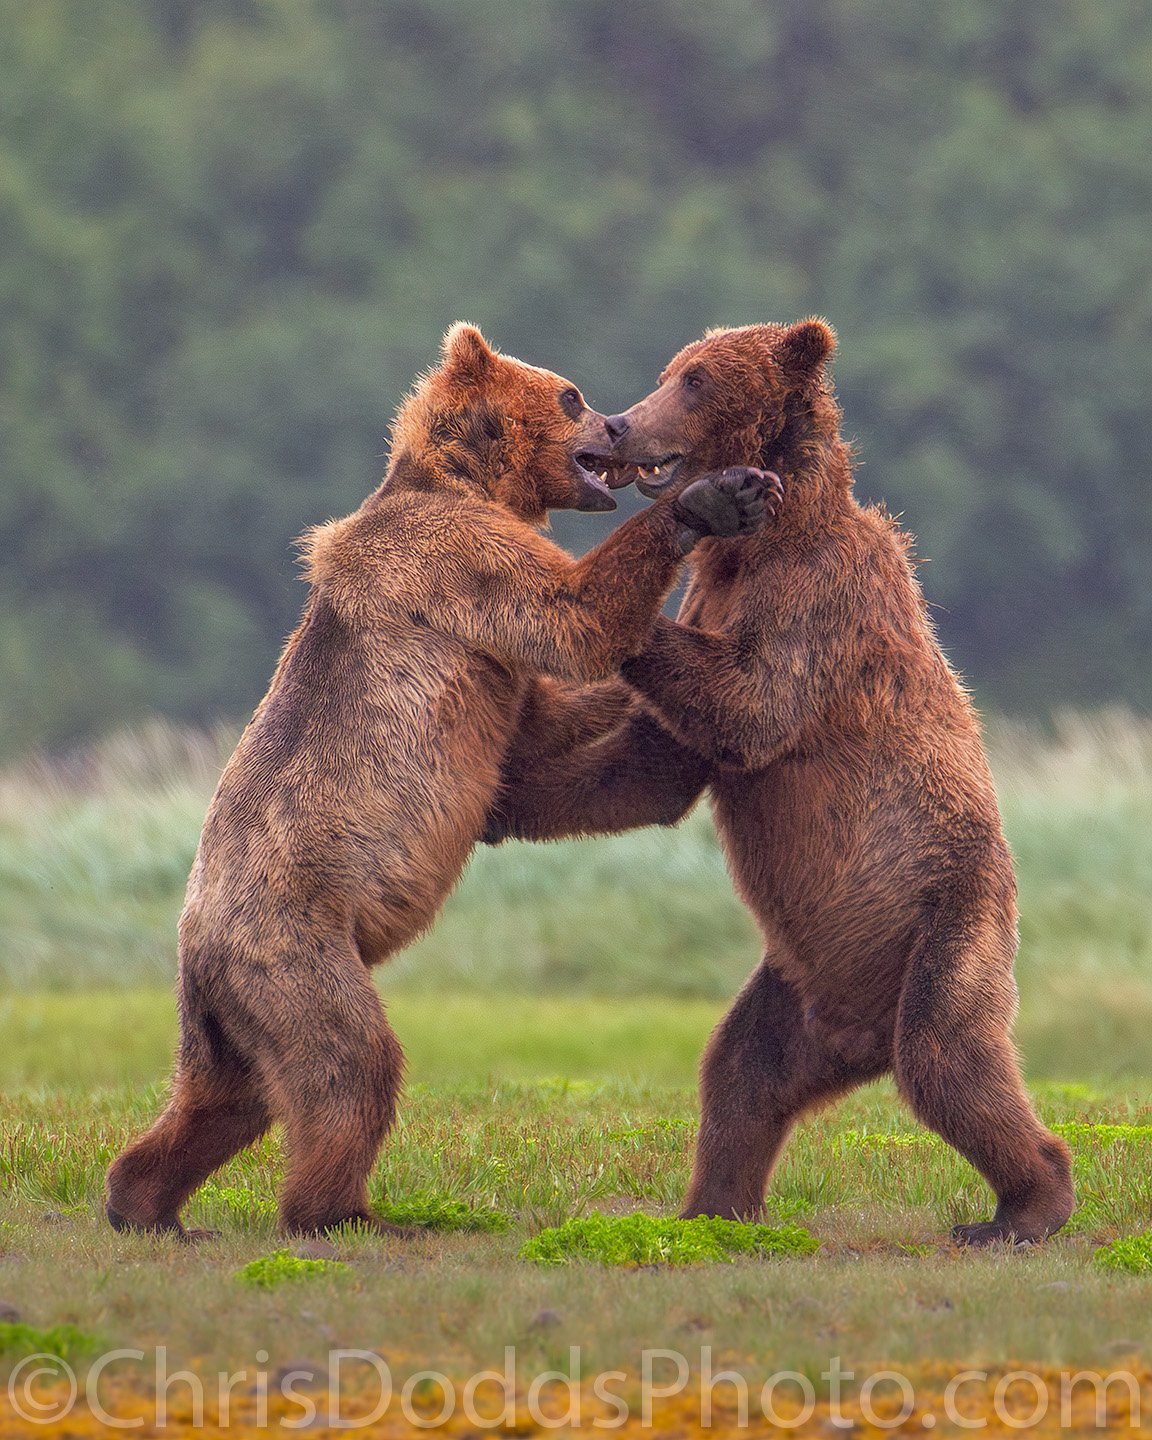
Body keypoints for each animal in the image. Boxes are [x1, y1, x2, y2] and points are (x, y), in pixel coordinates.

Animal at [105, 323, 780, 1240]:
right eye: (570, 394)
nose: (614, 425)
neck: (472, 485)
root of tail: (191, 944)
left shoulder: (488, 667)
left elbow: (535, 742)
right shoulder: (452, 563)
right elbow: (571, 617)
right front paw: (715, 500)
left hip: (232, 1012)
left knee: (228, 1100)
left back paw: (144, 1202)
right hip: (292, 946)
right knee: (348, 1065)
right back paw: (342, 1212)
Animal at [486, 319, 1075, 1247]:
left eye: (694, 380)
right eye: (672, 371)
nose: (621, 424)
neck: (767, 541)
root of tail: (858, 1032)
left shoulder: (820, 602)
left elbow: (749, 702)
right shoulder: (720, 594)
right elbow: (657, 767)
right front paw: (502, 799)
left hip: (950, 924)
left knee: (948, 1058)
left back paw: (1023, 1207)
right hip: (796, 983)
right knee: (741, 1072)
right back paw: (715, 1208)